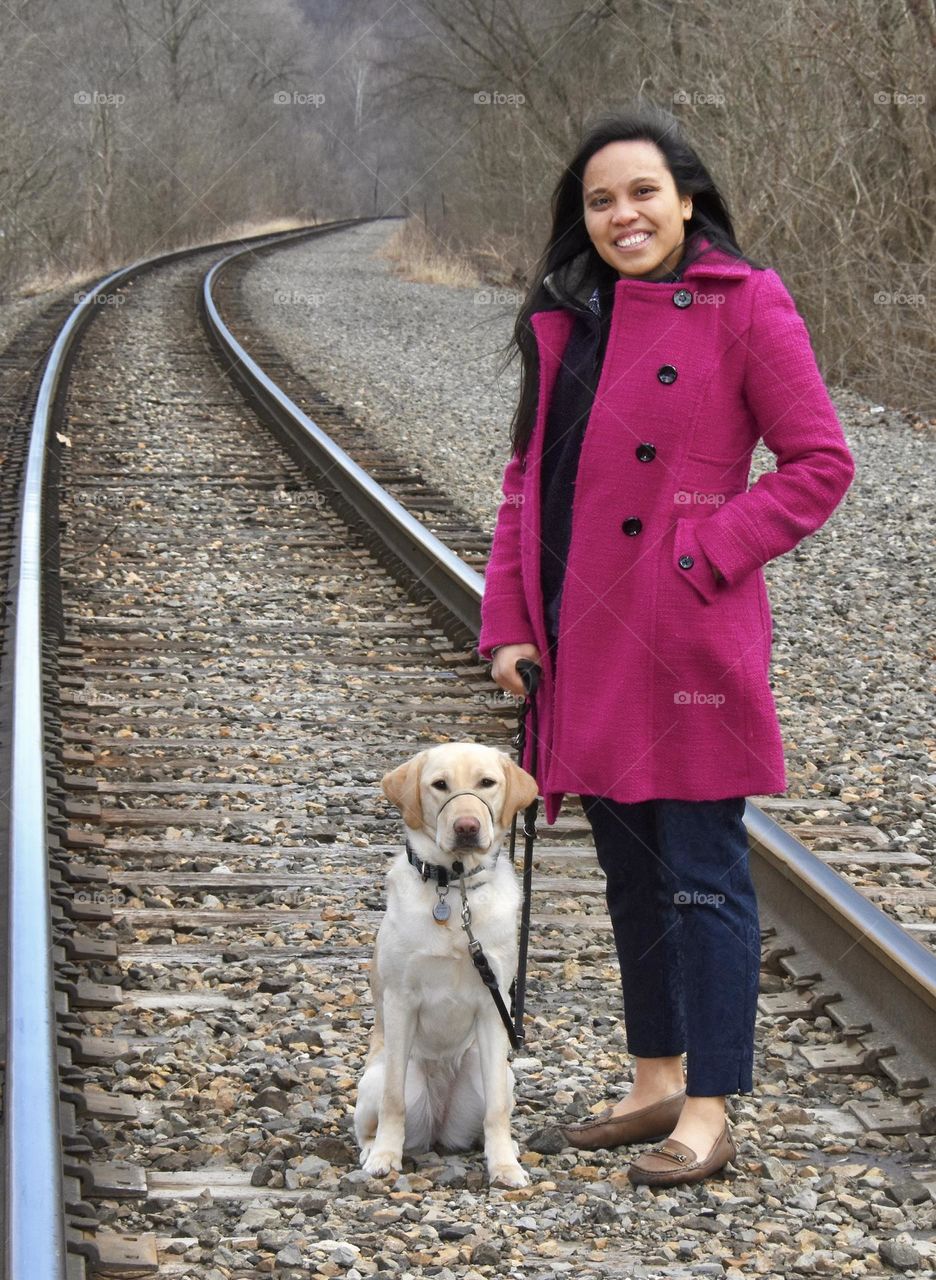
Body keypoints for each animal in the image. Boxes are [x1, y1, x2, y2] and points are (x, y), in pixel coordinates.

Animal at [355, 742, 537, 1187]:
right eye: (439, 785)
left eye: (487, 782)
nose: (467, 826)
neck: (455, 892)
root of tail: (439, 1125)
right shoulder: (400, 1002)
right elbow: (394, 1100)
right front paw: (385, 1156)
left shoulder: (493, 1006)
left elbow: (497, 1110)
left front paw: (503, 1166)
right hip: (375, 1078)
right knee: (375, 1114)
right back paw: (372, 1147)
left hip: (497, 1074)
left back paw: (508, 1148)